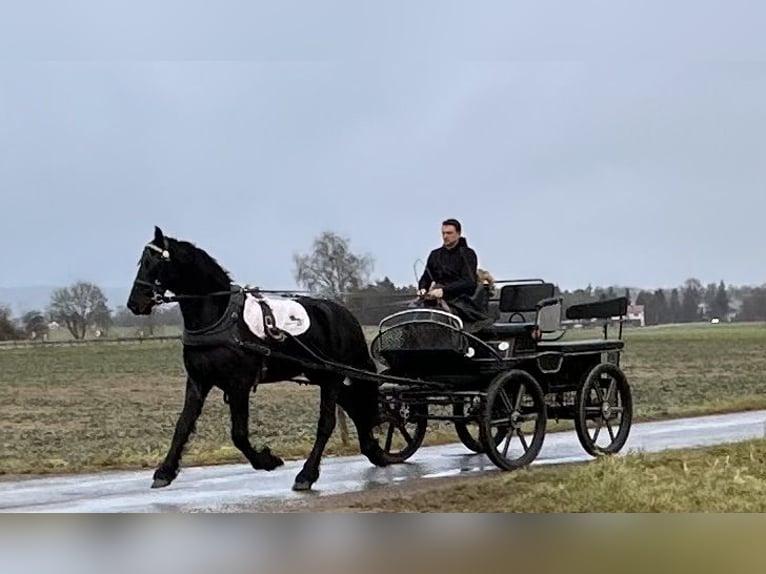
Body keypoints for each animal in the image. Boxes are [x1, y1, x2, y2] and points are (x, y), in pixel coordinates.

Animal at [128, 227, 390, 492]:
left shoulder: (239, 384)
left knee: (327, 423)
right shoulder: (197, 381)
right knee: (356, 407)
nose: (134, 303)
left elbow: (239, 434)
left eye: (154, 263)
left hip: (332, 377)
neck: (220, 316)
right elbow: (183, 425)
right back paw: (374, 451)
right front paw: (165, 471)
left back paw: (307, 474)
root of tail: (344, 314)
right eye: (142, 262)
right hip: (326, 375)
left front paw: (266, 460)